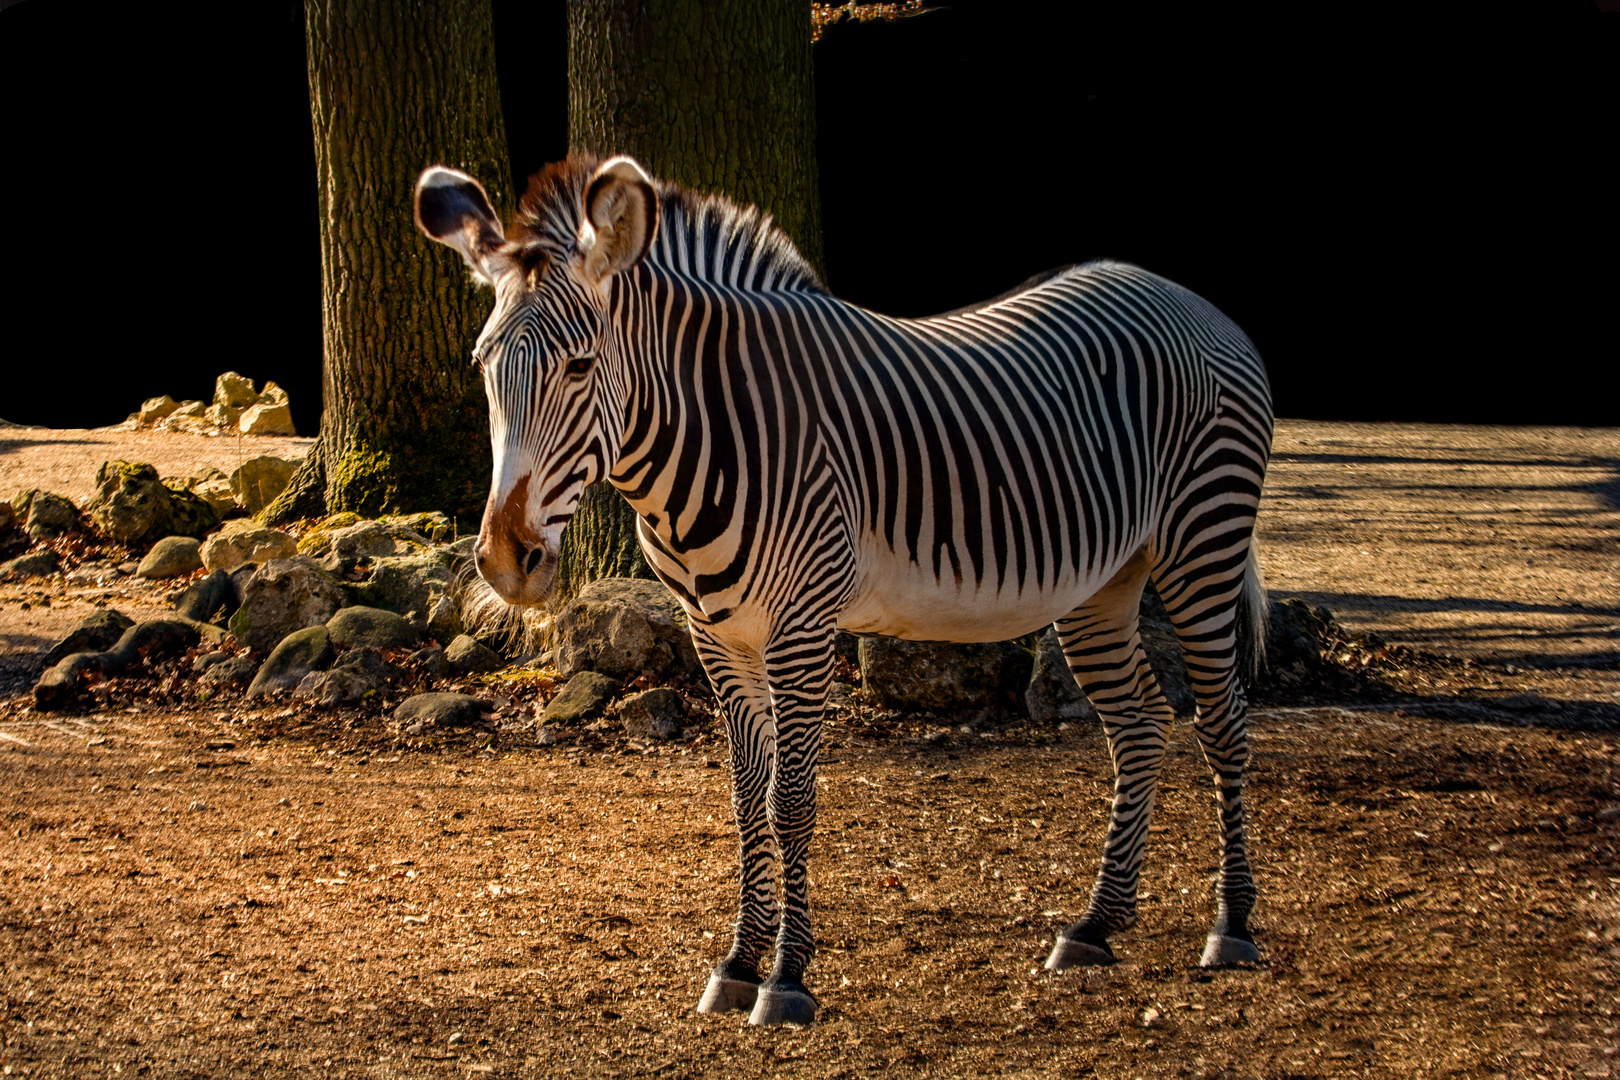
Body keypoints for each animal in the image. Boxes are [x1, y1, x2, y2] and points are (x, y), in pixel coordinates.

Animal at [417, 149, 1276, 1023]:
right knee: (1140, 725)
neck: (714, 431)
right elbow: (745, 802)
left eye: (581, 366)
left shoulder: (801, 626)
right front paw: (738, 962)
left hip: (1203, 543)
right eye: (483, 367)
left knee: (1224, 725)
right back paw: (1097, 926)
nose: (506, 559)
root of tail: (1186, 298)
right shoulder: (715, 634)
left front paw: (787, 978)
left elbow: (790, 802)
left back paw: (1232, 928)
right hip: (1102, 584)